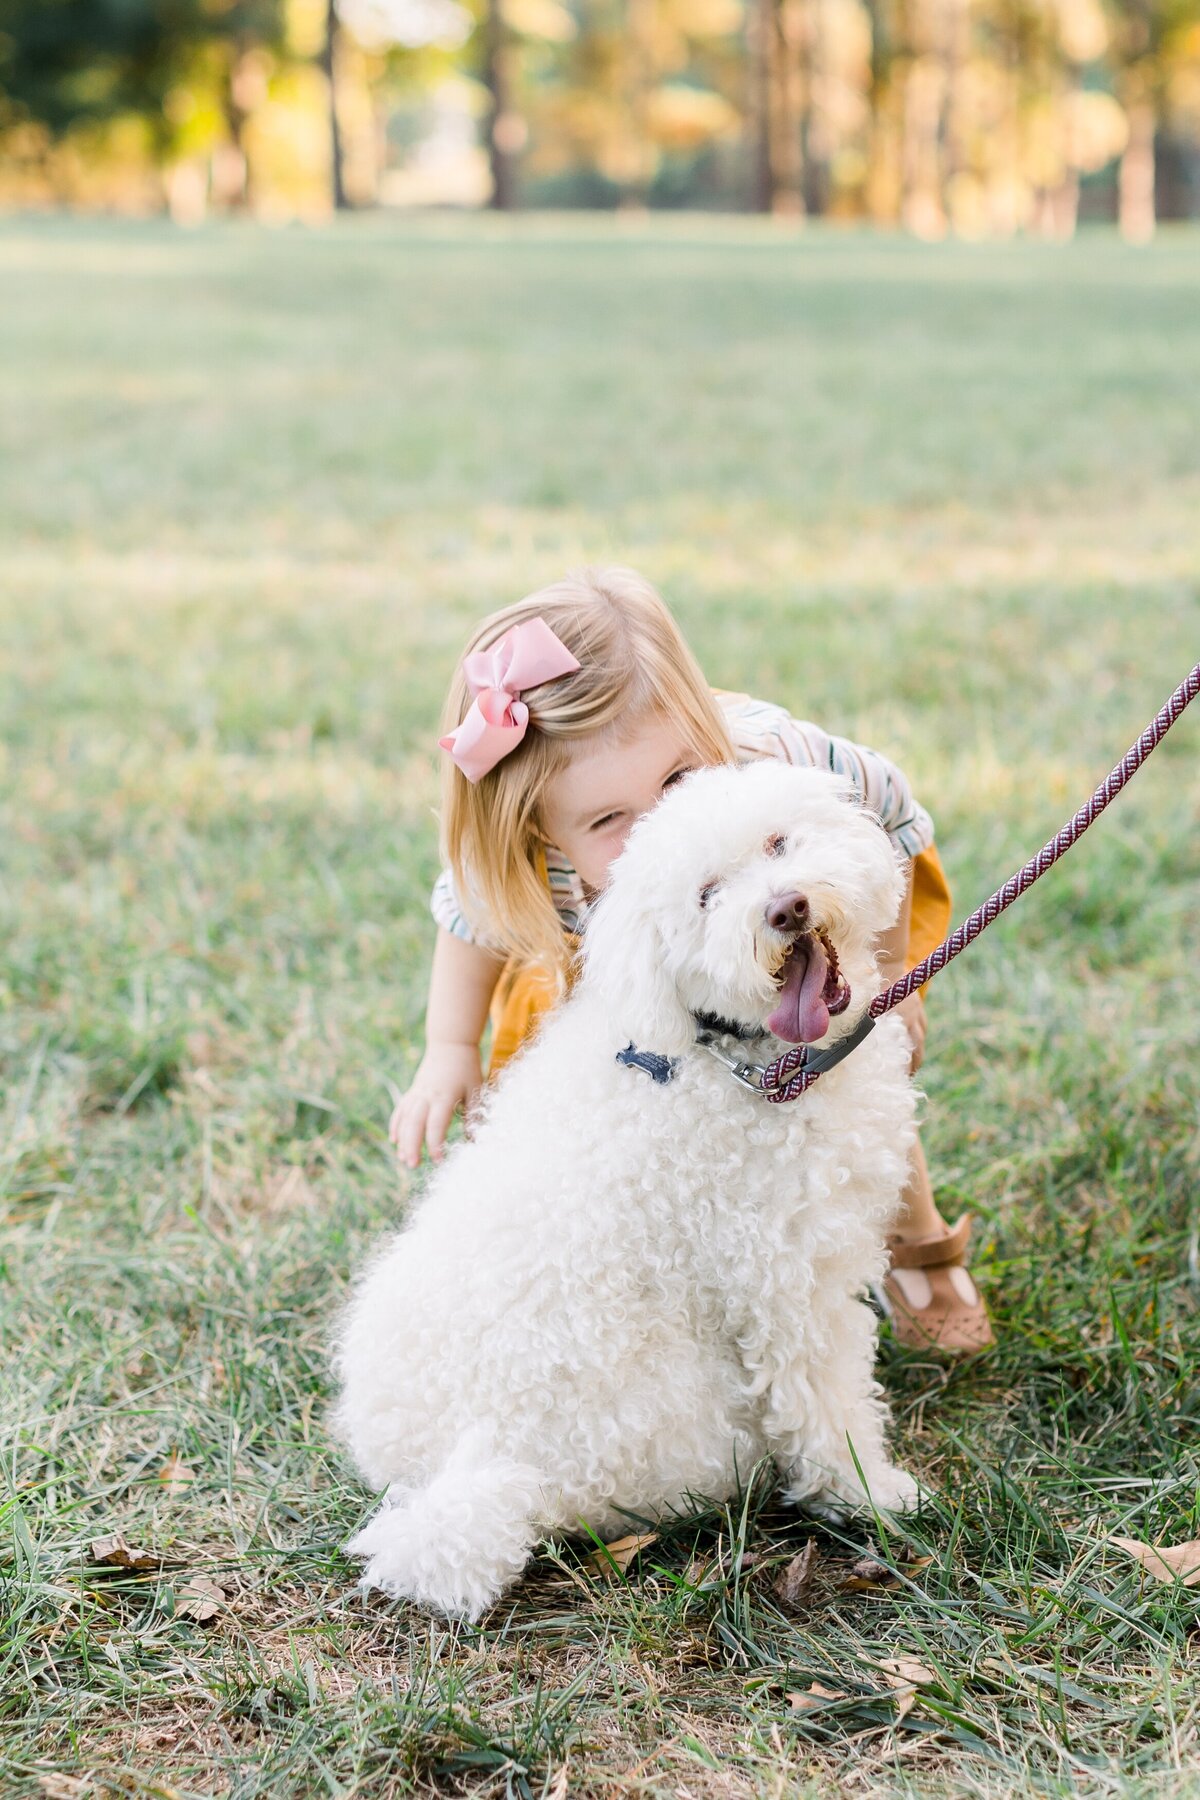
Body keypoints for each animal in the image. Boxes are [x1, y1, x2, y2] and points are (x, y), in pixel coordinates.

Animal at [336, 759, 921, 1620]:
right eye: (707, 896)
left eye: (779, 843)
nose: (784, 908)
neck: (736, 1062)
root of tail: (487, 1463)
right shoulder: (787, 1285)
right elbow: (825, 1407)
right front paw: (871, 1494)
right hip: (694, 1422)